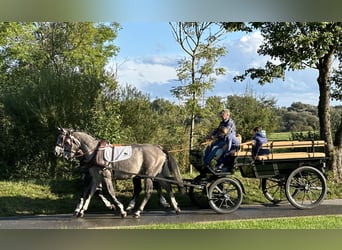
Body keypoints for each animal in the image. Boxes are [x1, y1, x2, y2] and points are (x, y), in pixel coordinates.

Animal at [55, 128, 184, 218]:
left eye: (65, 141)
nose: (58, 153)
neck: (95, 152)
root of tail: (159, 148)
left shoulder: (105, 175)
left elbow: (110, 192)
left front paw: (121, 209)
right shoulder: (95, 177)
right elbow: (91, 193)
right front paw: (81, 210)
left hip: (149, 174)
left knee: (148, 191)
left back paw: (138, 211)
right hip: (158, 174)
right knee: (167, 186)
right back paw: (175, 207)